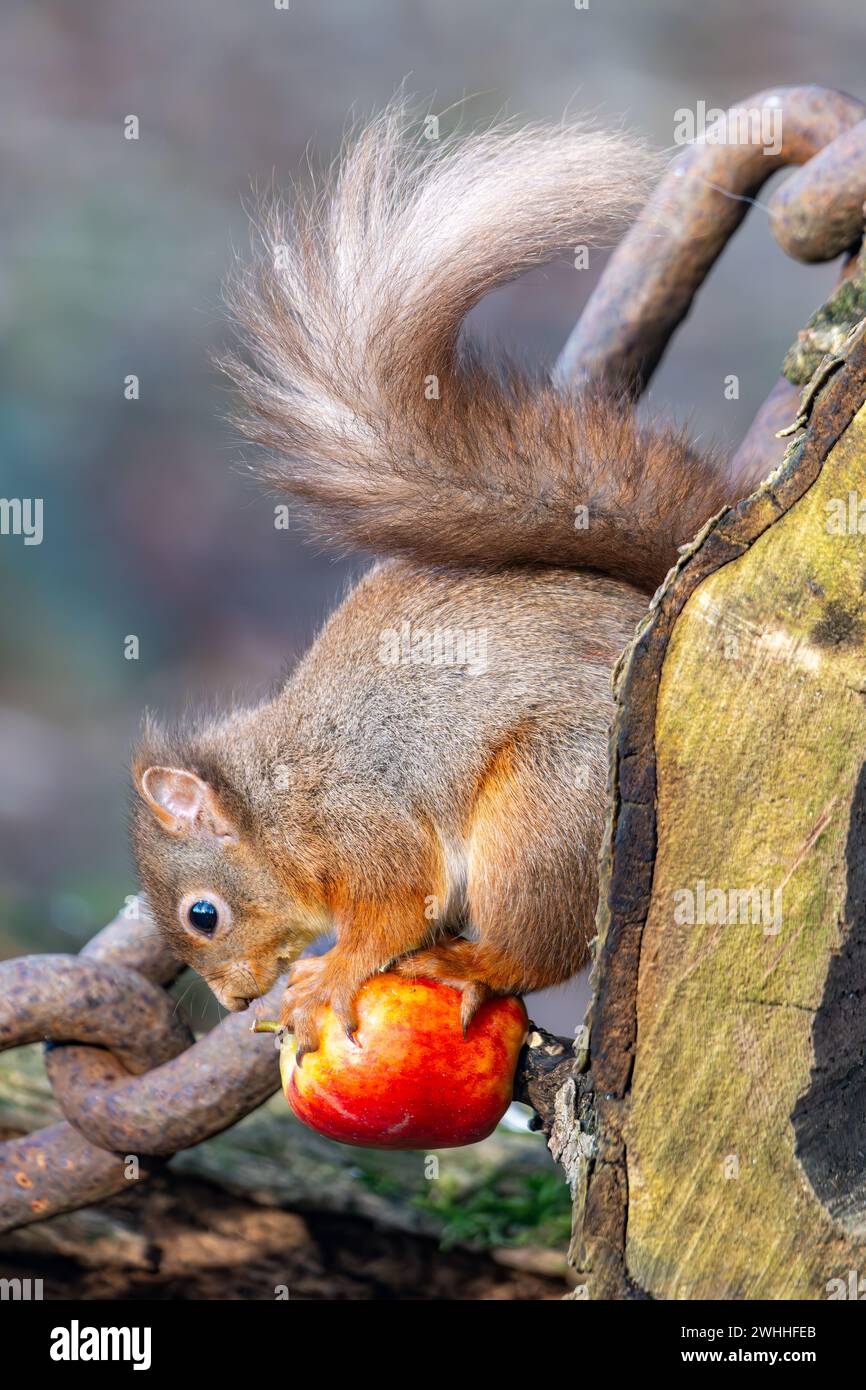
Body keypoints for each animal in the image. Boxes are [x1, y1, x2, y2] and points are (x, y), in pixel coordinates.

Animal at [132, 102, 750, 1050]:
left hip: (545, 813)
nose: (234, 1002)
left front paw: (329, 975)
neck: (275, 804)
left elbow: (394, 907)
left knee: (539, 947)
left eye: (204, 914)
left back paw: (471, 964)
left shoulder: (363, 825)